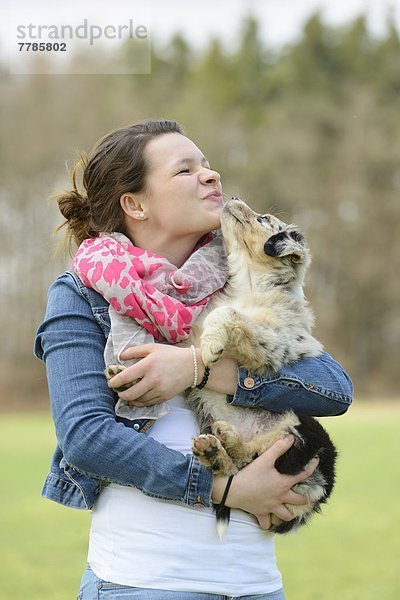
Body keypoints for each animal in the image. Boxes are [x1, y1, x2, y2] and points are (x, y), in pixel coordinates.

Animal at [186, 199, 336, 536]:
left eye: (264, 218)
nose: (232, 198)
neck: (250, 286)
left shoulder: (272, 344)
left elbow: (227, 315)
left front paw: (211, 345)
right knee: (239, 467)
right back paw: (218, 447)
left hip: (305, 432)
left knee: (254, 459)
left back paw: (223, 445)